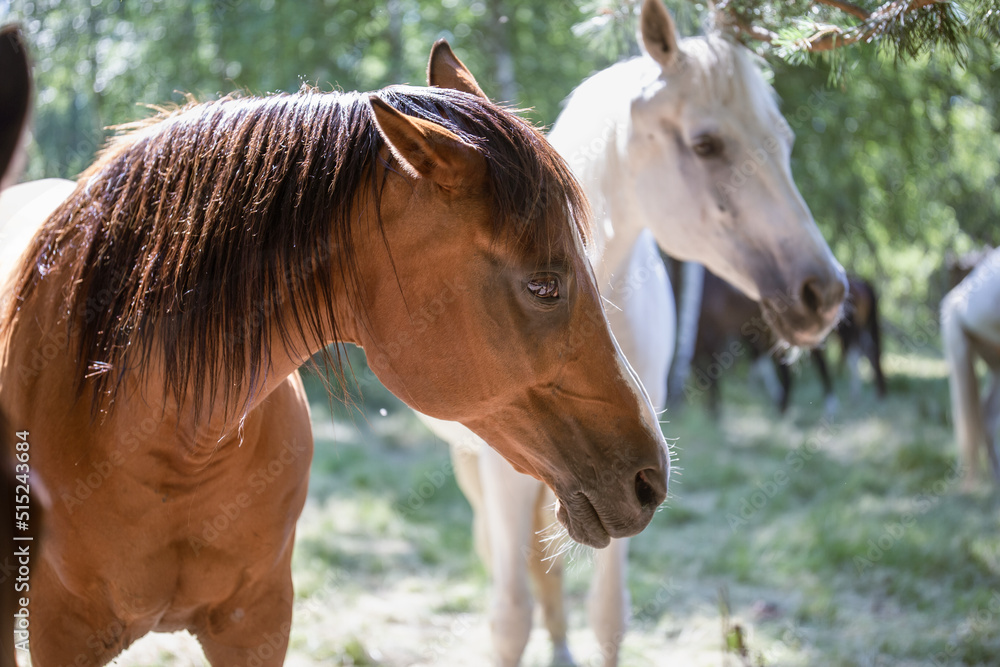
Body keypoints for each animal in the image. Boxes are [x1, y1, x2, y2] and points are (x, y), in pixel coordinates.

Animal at [418, 1, 847, 665]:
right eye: (705, 144)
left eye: (785, 141)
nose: (822, 293)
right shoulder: (508, 472)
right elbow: (509, 617)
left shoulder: (622, 468)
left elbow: (608, 614)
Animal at [690, 271, 885, 414]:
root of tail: (861, 282)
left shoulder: (713, 335)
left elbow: (712, 370)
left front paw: (715, 408)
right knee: (865, 353)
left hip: (845, 332)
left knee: (838, 359)